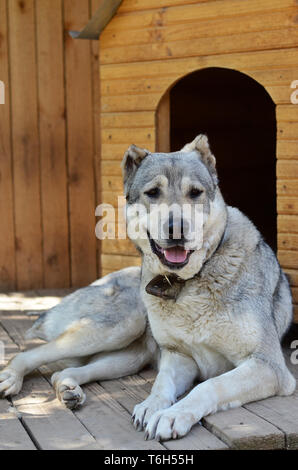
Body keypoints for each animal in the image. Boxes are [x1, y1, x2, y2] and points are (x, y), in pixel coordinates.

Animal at [1, 134, 296, 442]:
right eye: (153, 193)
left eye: (195, 193)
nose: (177, 228)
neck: (190, 281)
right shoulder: (179, 357)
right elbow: (161, 384)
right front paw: (152, 407)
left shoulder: (268, 365)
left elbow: (209, 385)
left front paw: (171, 414)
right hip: (117, 328)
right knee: (31, 353)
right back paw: (12, 377)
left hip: (127, 358)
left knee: (65, 371)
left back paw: (70, 390)